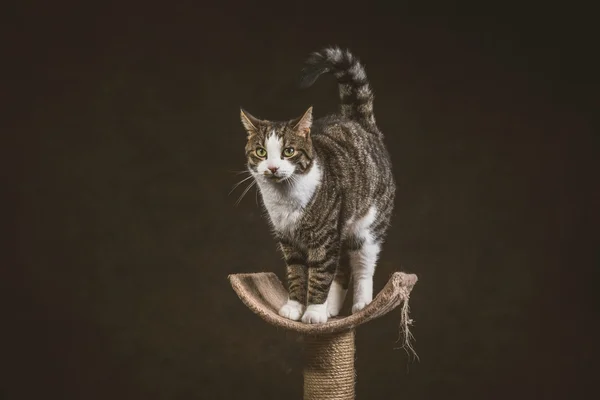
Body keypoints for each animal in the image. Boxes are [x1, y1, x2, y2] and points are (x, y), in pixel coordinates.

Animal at [239, 47, 394, 324]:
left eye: (288, 151)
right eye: (261, 152)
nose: (273, 168)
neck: (285, 197)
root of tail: (360, 124)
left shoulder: (325, 238)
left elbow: (320, 274)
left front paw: (313, 312)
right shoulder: (288, 239)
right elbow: (297, 274)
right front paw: (295, 307)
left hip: (367, 226)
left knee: (362, 265)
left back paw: (362, 304)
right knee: (341, 269)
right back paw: (331, 309)